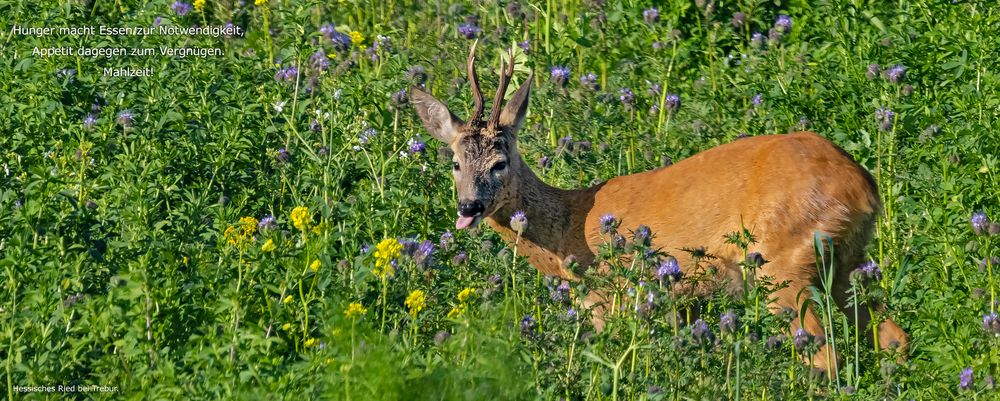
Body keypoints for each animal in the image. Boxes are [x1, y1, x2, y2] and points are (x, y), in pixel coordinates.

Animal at [410, 43, 912, 372]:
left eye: (500, 161)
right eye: (455, 161)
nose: (469, 205)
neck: (568, 228)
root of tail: (864, 185)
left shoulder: (609, 298)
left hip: (785, 263)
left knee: (826, 355)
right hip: (847, 262)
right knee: (893, 336)